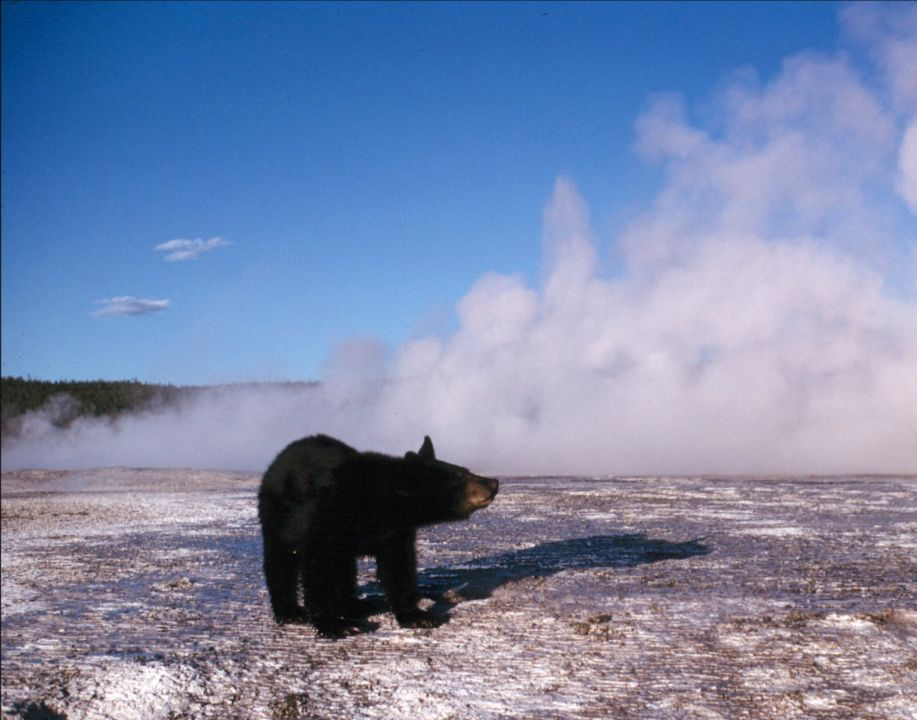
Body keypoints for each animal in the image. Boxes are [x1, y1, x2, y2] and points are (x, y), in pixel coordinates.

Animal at [257, 434, 499, 637]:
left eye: (466, 470)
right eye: (459, 477)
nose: (493, 483)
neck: (381, 500)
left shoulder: (395, 531)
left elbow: (398, 568)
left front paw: (417, 615)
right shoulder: (326, 516)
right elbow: (318, 568)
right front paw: (336, 624)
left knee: (345, 568)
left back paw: (355, 604)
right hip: (278, 515)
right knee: (280, 561)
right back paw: (291, 611)